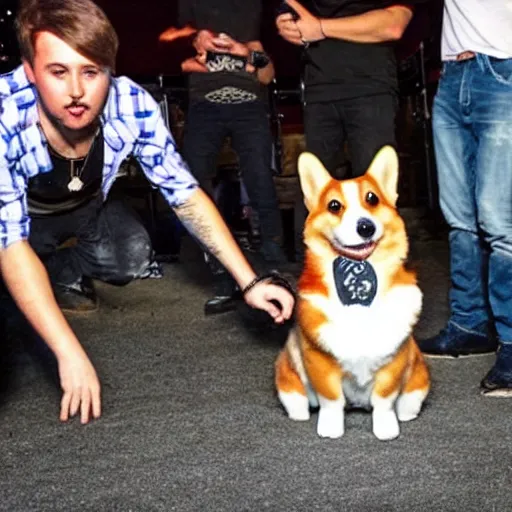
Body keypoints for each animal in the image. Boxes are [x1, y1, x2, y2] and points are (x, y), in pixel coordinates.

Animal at [274, 145, 430, 440]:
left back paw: (406, 413)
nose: (365, 227)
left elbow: (384, 400)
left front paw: (386, 429)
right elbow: (332, 401)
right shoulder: (319, 363)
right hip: (288, 367)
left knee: (408, 400)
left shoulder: (394, 362)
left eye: (372, 199)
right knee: (296, 398)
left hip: (419, 375)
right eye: (334, 205)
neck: (359, 279)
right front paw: (330, 428)